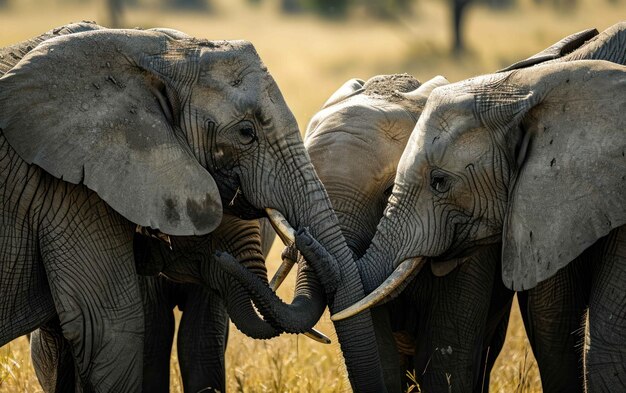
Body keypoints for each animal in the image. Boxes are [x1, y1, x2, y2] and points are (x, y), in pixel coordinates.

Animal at [0, 23, 382, 390]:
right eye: (246, 133)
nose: (299, 239)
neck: (154, 51)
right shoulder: (75, 187)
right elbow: (110, 329)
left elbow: (200, 342)